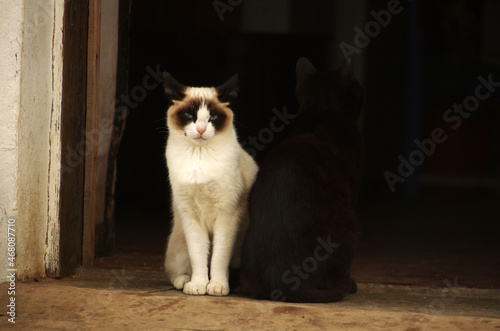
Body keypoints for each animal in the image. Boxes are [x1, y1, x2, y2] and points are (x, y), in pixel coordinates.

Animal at [164, 72, 258, 296]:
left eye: (213, 118)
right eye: (189, 115)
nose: (200, 129)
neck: (199, 159)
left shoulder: (226, 215)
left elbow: (219, 258)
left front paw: (217, 286)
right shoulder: (190, 216)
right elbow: (198, 256)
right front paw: (199, 285)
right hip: (179, 241)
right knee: (174, 271)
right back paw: (185, 281)